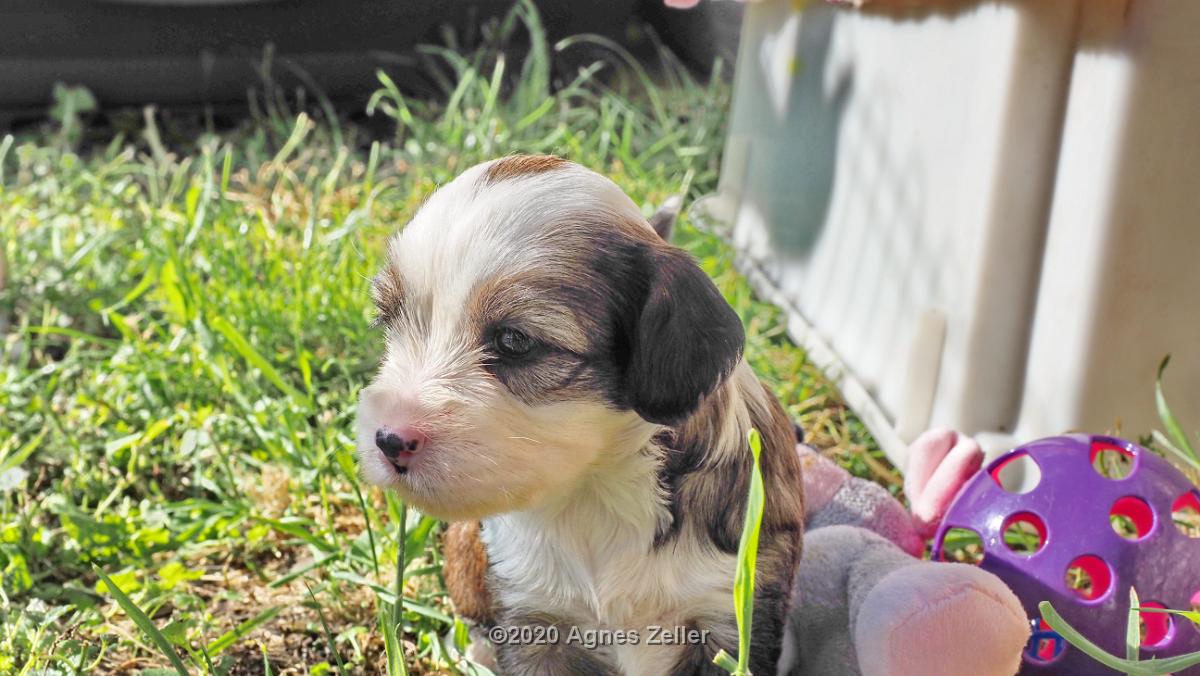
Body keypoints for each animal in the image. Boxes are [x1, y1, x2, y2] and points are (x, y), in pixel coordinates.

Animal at [355, 156, 806, 672]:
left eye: (514, 341)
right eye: (388, 321)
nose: (387, 440)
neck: (596, 489)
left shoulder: (729, 617)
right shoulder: (533, 616)